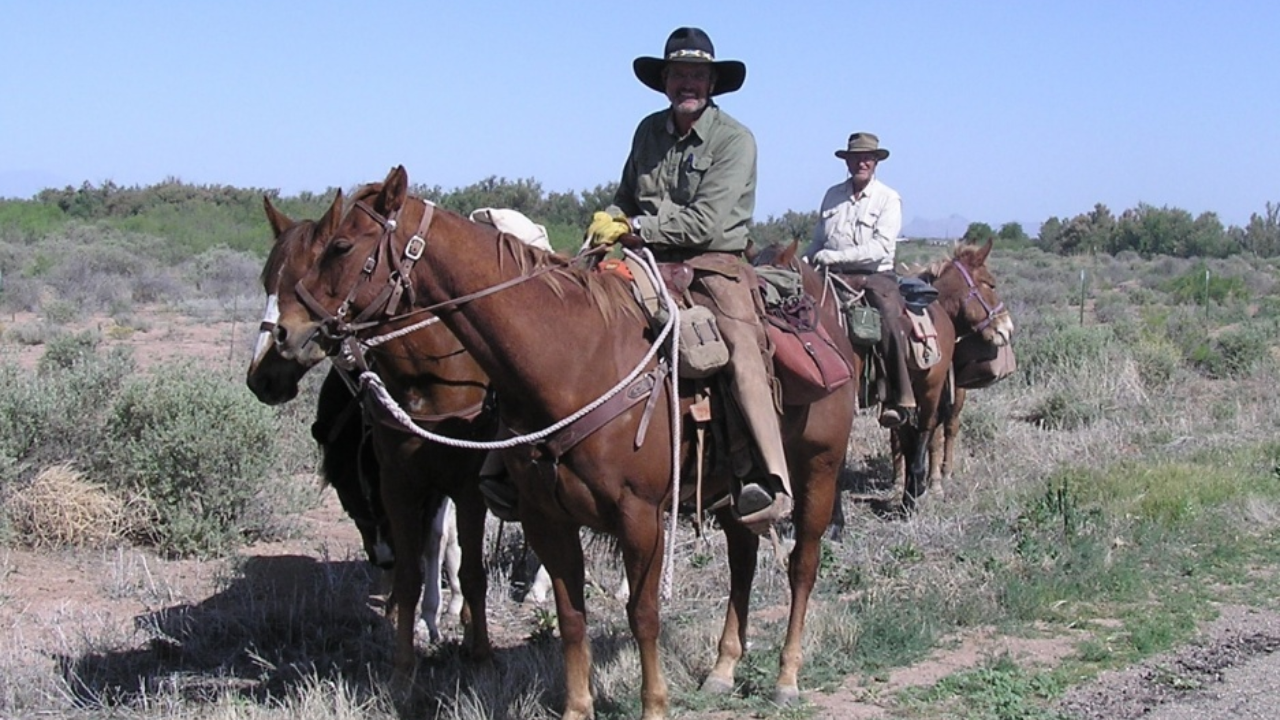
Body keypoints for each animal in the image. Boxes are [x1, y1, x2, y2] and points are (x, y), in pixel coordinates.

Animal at [245, 196, 488, 650]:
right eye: (267, 281)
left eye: (307, 276)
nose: (261, 377)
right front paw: (411, 611)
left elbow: (435, 537)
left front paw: (433, 616)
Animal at [273, 165, 860, 717]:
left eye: (340, 246)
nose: (286, 333)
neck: (574, 358)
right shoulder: (545, 515)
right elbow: (571, 617)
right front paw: (578, 706)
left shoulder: (640, 517)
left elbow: (643, 615)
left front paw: (653, 704)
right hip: (735, 488)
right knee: (743, 557)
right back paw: (722, 669)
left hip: (819, 468)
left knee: (802, 565)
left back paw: (786, 677)